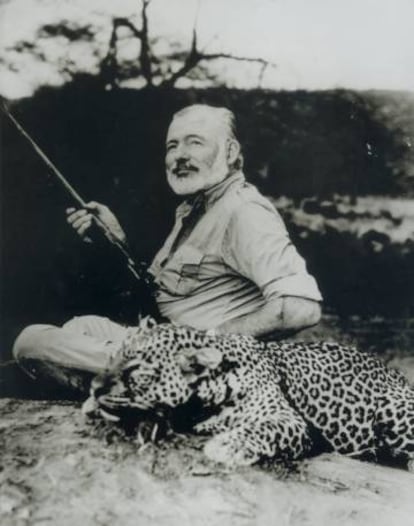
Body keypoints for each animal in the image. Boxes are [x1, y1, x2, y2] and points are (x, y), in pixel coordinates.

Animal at [83, 318, 414, 470]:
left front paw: (227, 445)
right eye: (112, 356)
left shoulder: (287, 418)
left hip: (390, 407)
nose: (94, 387)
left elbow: (265, 428)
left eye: (137, 368)